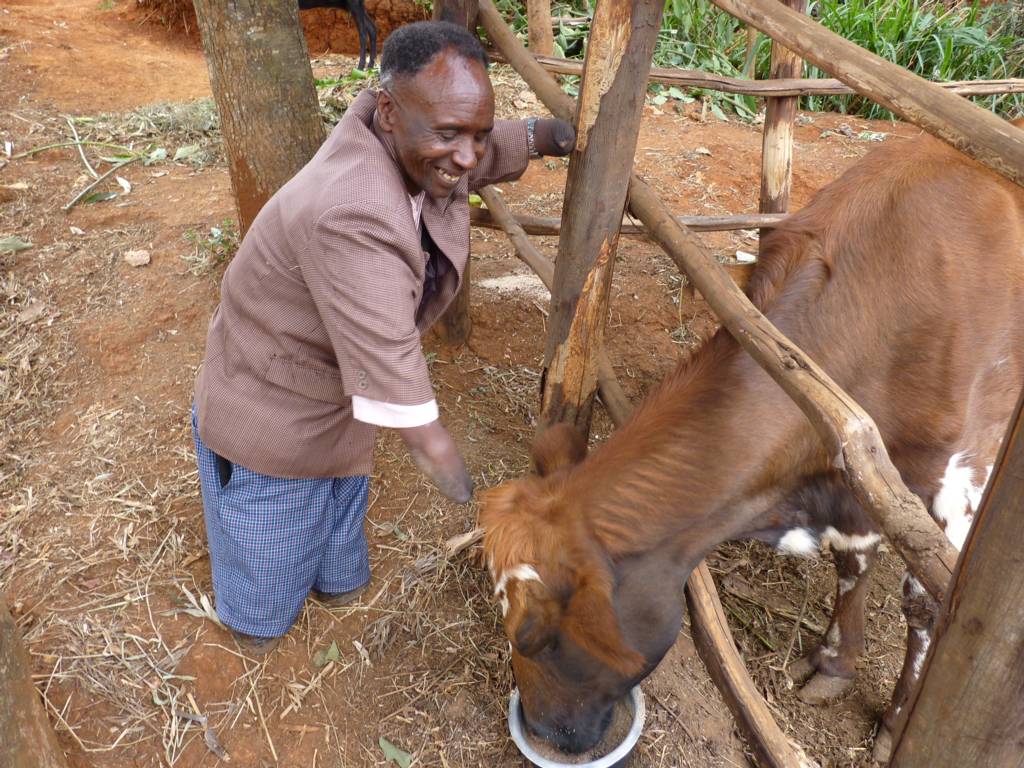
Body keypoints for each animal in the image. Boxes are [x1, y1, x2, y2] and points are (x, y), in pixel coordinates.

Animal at [479, 123, 1024, 761]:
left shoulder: (962, 472)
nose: (541, 730)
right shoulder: (855, 480)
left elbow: (926, 601)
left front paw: (893, 726)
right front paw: (835, 664)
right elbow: (852, 560)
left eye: (534, 636)